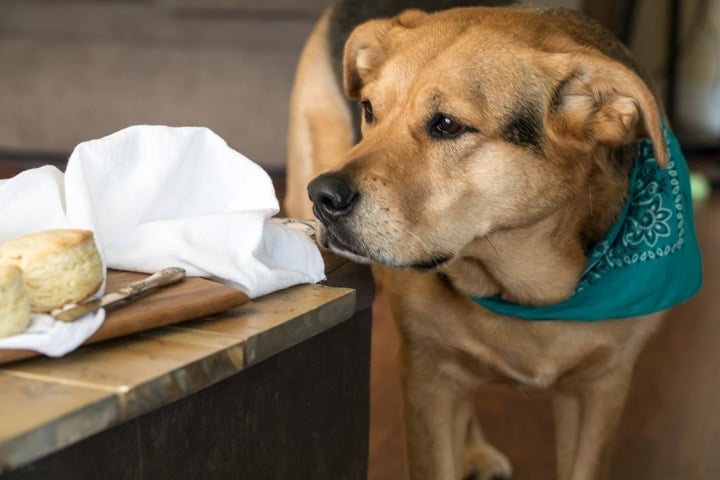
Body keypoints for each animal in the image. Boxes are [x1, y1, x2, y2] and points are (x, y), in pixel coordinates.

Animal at [284, 1, 700, 478]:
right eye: (369, 109)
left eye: (447, 125)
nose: (322, 196)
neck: (525, 287)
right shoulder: (427, 374)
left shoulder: (602, 388)